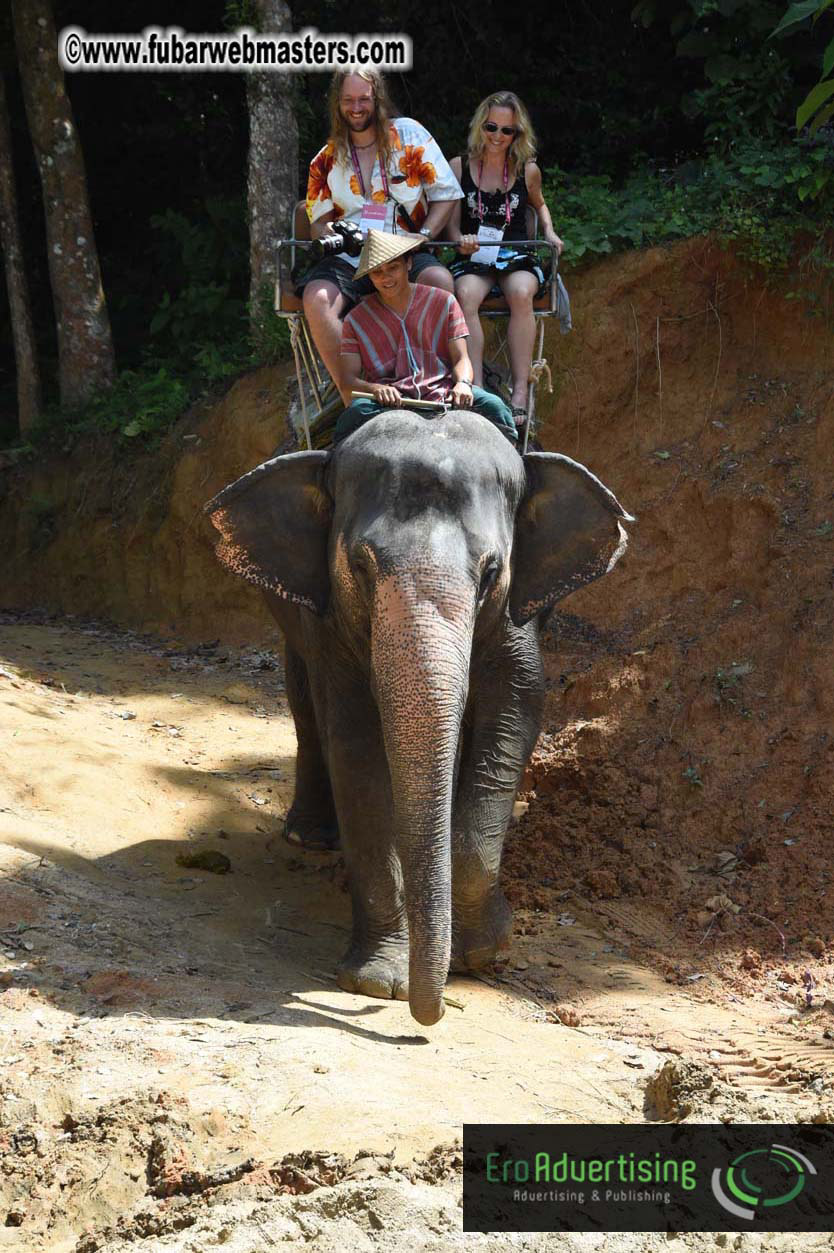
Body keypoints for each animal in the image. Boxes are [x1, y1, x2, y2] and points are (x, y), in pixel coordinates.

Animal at [206, 409, 632, 1026]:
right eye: (361, 565)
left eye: (492, 571)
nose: (431, 1014)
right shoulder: (333, 622)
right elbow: (355, 747)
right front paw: (380, 982)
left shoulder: (518, 618)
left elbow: (515, 715)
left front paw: (479, 954)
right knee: (303, 701)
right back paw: (310, 836)